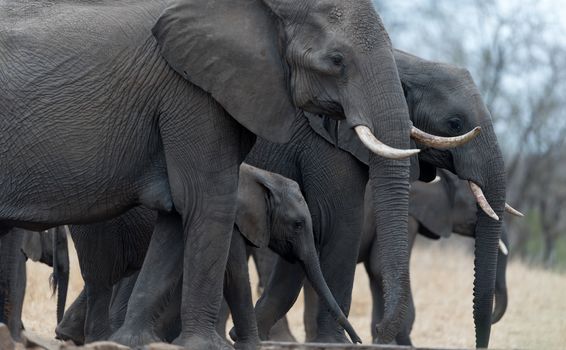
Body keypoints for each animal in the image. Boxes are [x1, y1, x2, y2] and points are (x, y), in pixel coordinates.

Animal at [56, 165, 360, 350]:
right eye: (297, 224)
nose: (358, 340)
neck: (264, 177)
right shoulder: (231, 220)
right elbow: (233, 272)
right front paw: (247, 344)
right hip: (99, 230)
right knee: (102, 279)